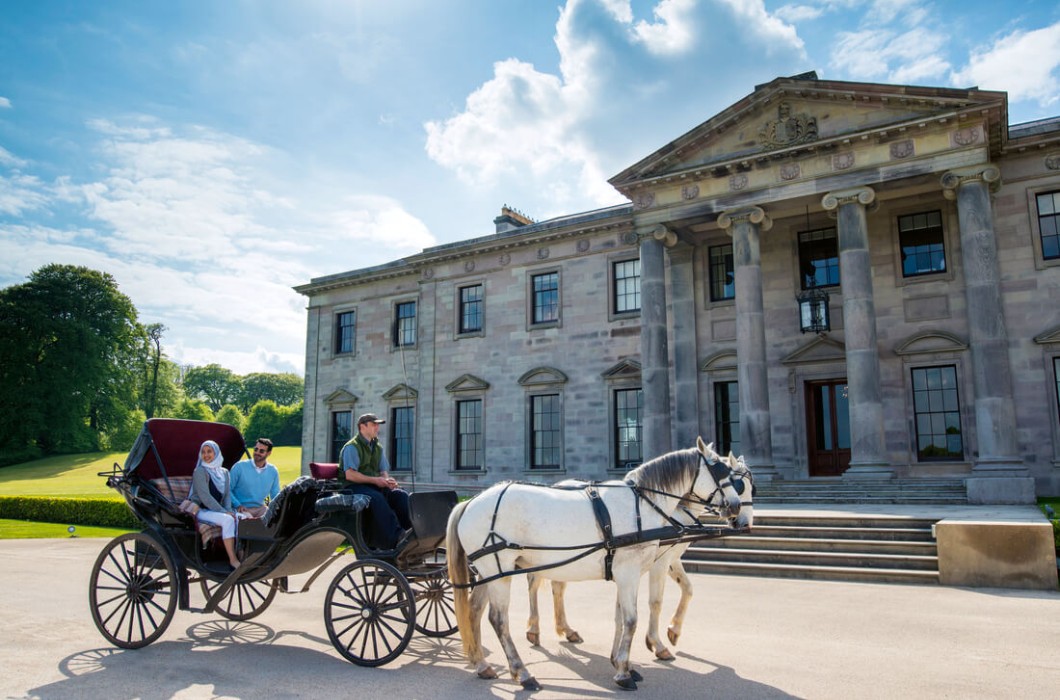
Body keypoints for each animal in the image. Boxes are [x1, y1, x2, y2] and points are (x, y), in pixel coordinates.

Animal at [525, 453, 750, 661]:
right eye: (738, 484)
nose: (744, 521)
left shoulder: (668, 559)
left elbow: (687, 589)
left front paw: (673, 631)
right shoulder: (657, 563)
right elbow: (656, 601)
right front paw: (656, 643)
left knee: (557, 586)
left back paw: (566, 629)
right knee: (534, 582)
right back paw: (534, 629)